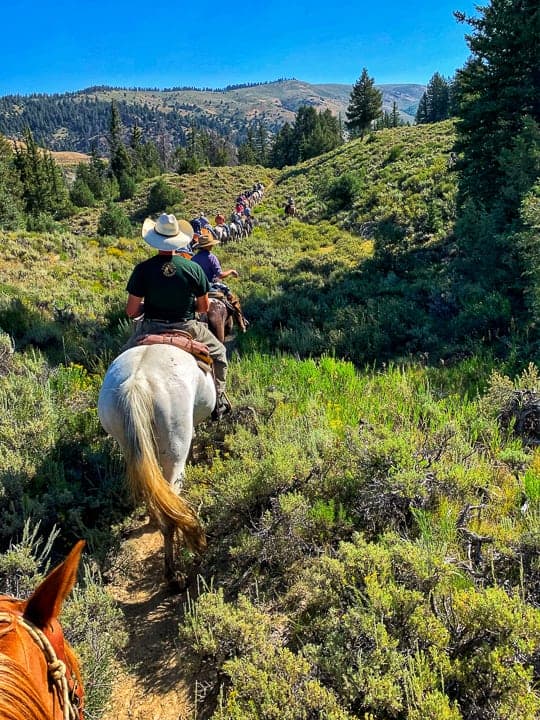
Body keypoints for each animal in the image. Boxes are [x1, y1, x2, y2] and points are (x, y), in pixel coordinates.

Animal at [98, 344, 216, 584]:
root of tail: (136, 384)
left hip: (131, 446)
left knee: (150, 489)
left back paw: (153, 519)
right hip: (174, 450)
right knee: (171, 511)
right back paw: (174, 573)